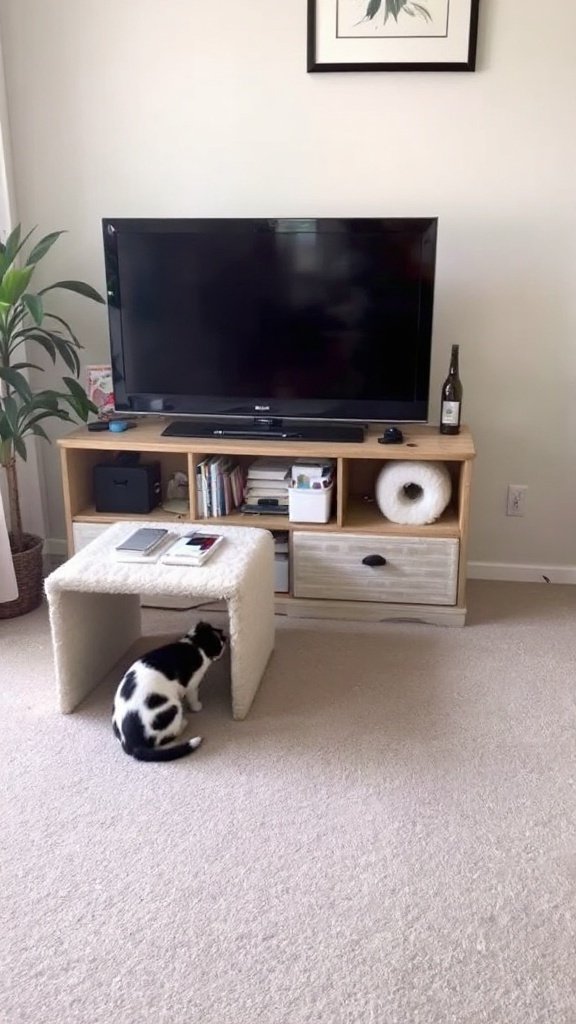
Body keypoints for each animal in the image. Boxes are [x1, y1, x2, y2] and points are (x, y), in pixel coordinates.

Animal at [112, 614, 226, 761]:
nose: (225, 636)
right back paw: (183, 723)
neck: (194, 644)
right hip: (172, 708)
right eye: (220, 643)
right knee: (166, 737)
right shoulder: (192, 683)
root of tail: (130, 744)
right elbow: (193, 697)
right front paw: (197, 707)